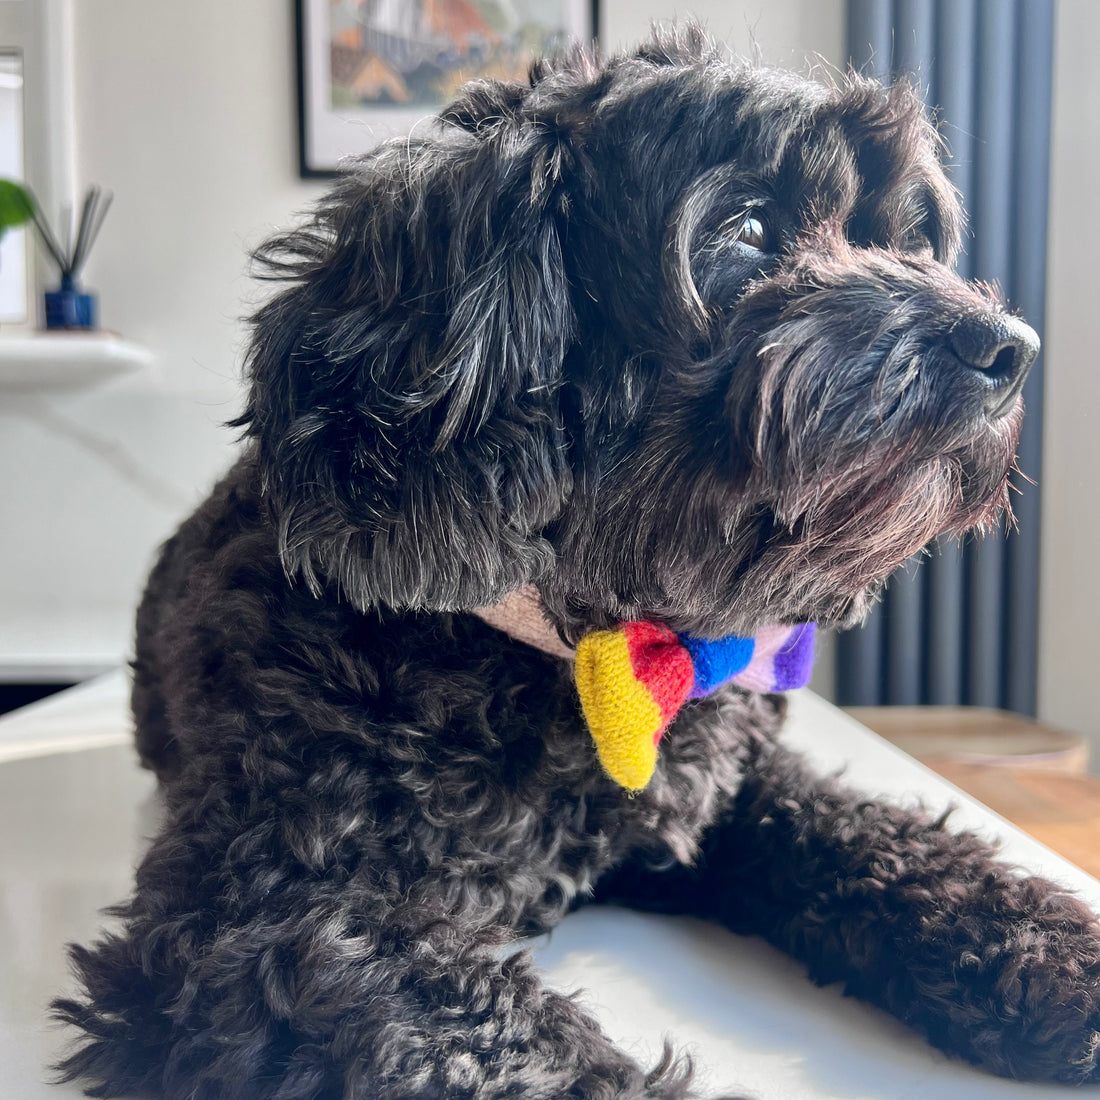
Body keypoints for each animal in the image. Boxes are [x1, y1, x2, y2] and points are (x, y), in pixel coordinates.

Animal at [53, 25, 1100, 1100]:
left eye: (908, 238)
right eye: (748, 229)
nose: (1011, 347)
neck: (593, 651)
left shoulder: (728, 795)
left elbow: (868, 832)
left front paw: (1047, 949)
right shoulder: (259, 920)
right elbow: (505, 1051)